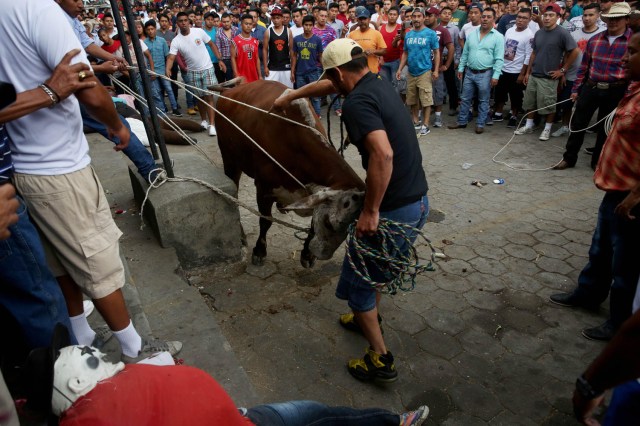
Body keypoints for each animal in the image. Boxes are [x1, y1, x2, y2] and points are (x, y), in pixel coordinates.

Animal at [215, 80, 364, 266]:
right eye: (329, 224)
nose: (322, 254)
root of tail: (227, 91)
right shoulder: (264, 187)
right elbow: (265, 221)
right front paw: (259, 251)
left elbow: (312, 223)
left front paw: (307, 254)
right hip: (230, 159)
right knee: (233, 196)